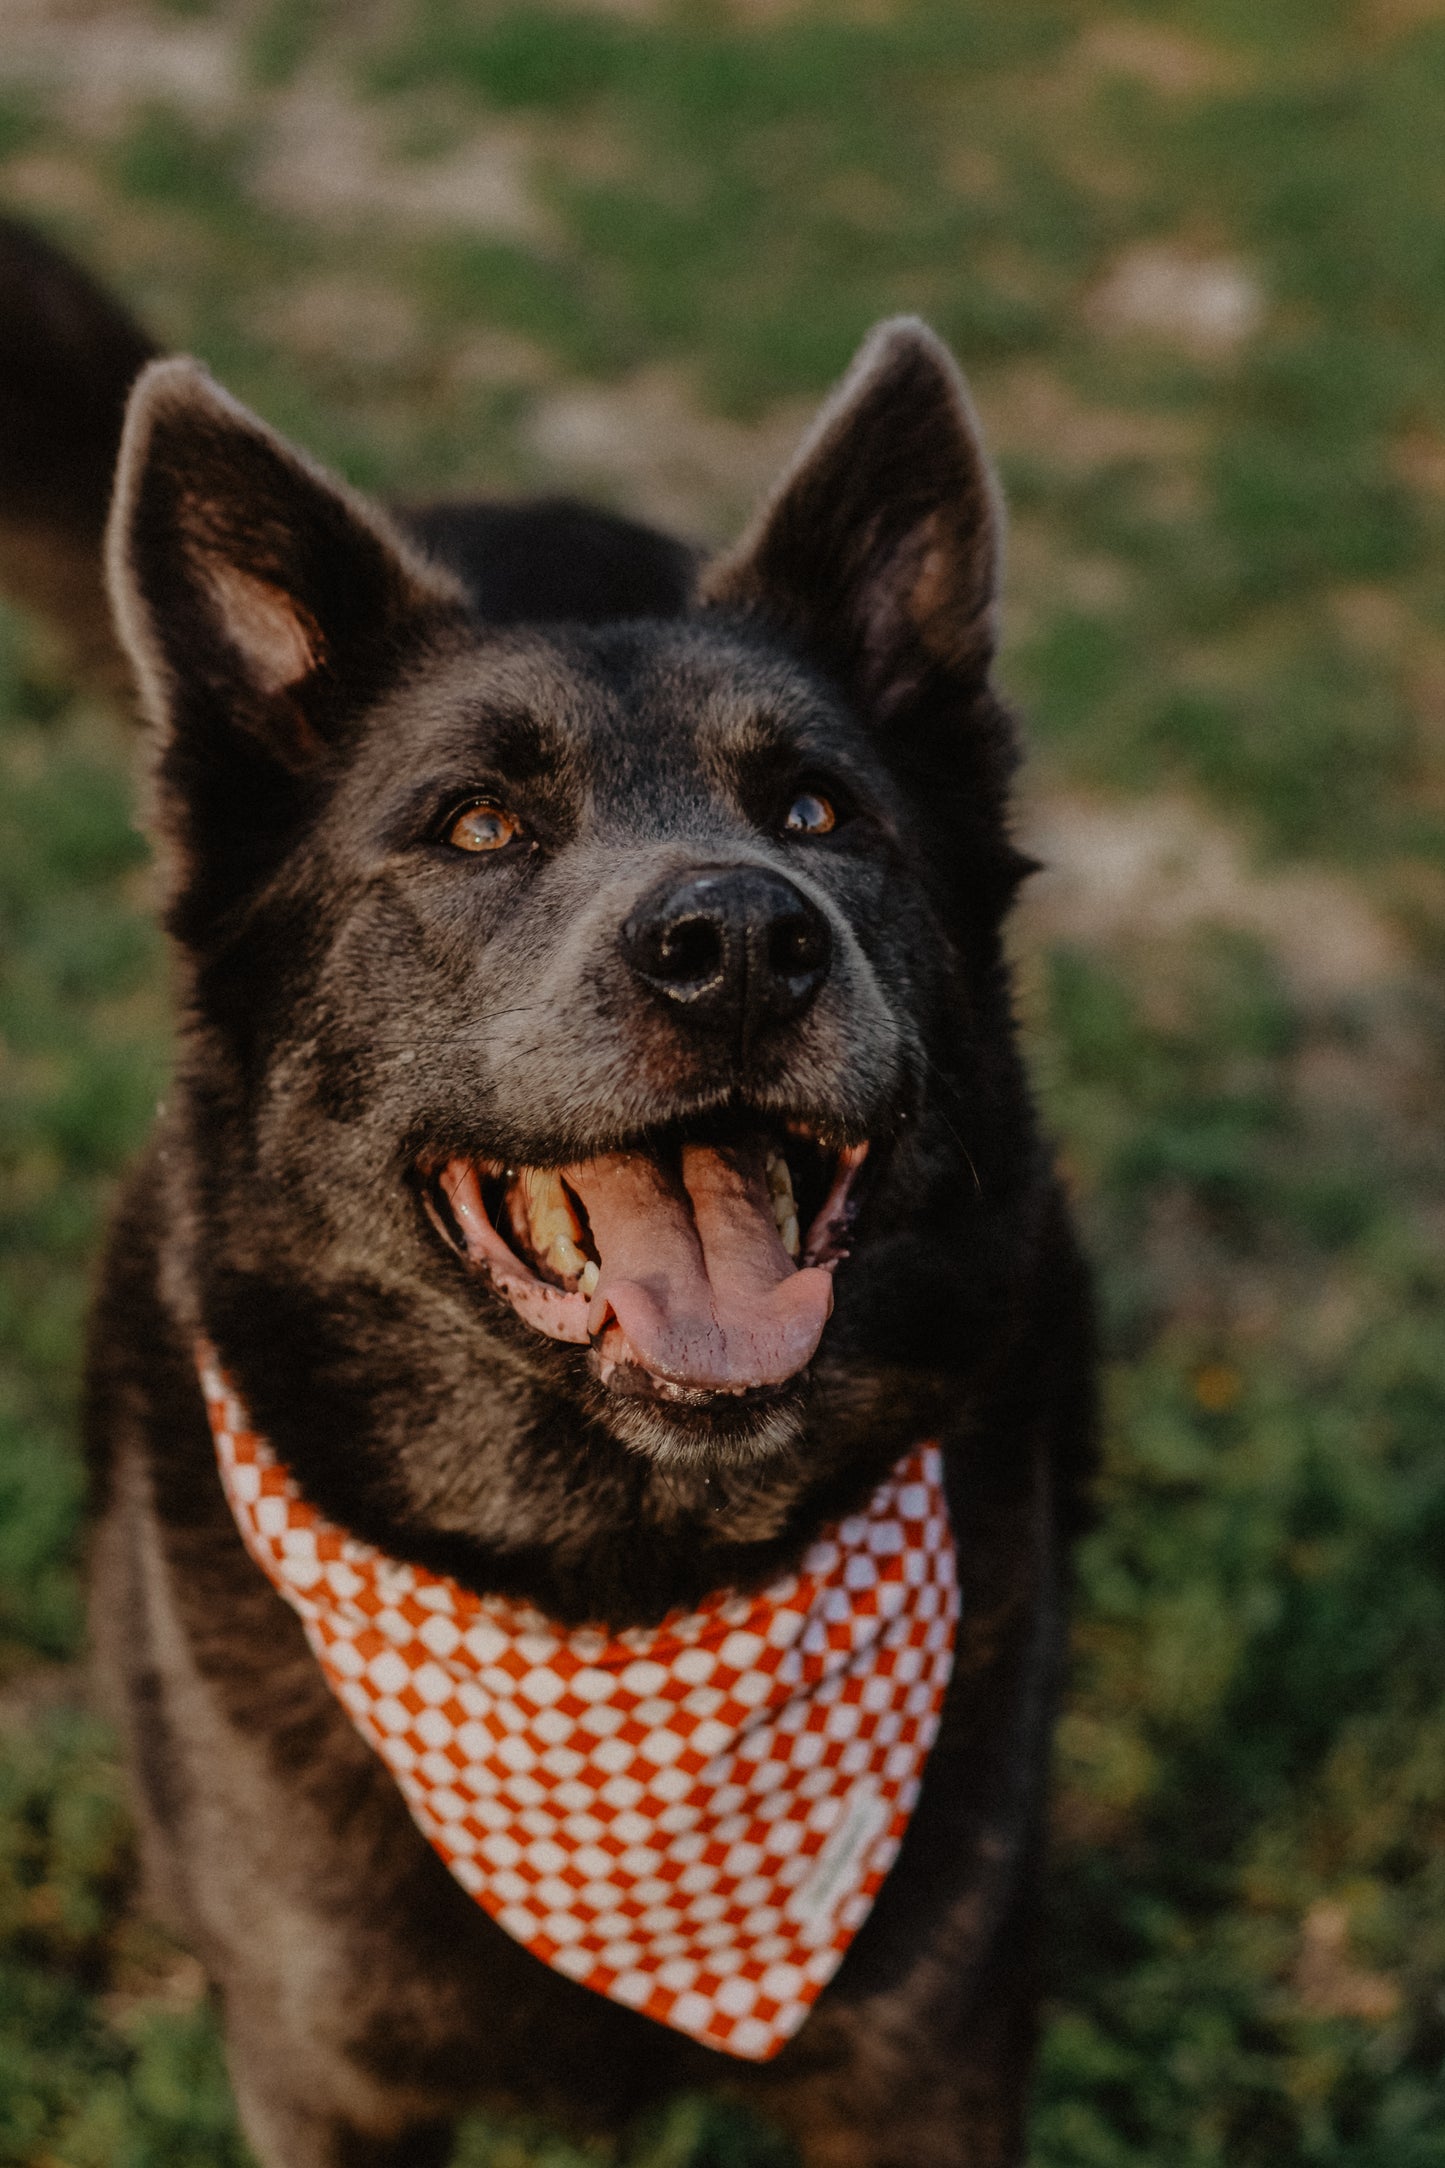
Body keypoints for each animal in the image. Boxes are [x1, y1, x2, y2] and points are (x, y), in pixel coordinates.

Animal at [0, 220, 1096, 2168]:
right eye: (476, 826)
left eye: (821, 813)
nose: (737, 944)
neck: (622, 1587)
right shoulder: (323, 2075)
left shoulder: (936, 2058)